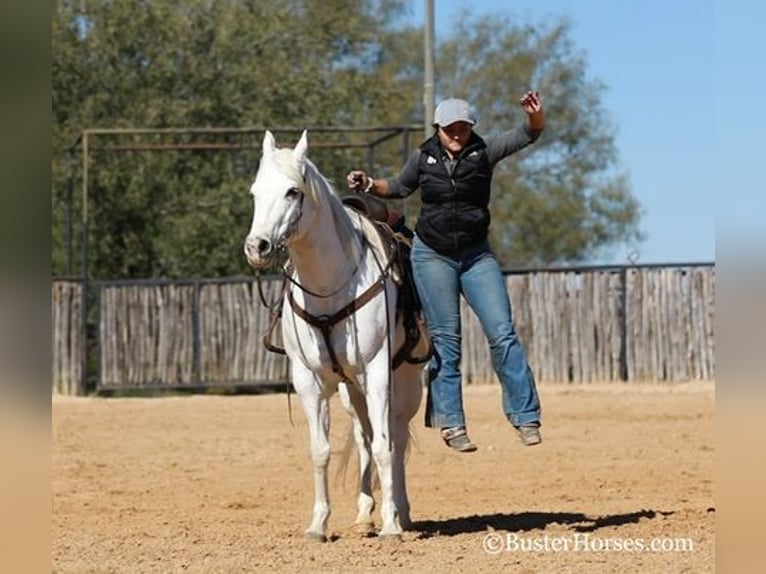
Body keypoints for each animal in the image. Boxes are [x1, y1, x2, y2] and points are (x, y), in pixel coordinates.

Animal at [244, 132, 426, 544]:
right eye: (255, 192)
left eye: (293, 191)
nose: (256, 247)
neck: (329, 286)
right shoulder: (308, 381)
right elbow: (321, 451)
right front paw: (318, 524)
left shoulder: (377, 373)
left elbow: (386, 448)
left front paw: (391, 525)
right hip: (351, 390)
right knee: (363, 436)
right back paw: (364, 515)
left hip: (406, 382)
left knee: (395, 436)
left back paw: (401, 512)